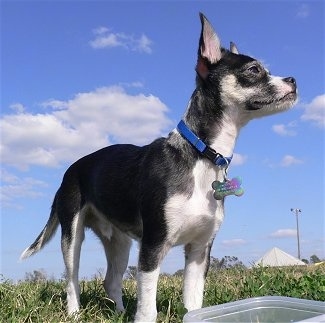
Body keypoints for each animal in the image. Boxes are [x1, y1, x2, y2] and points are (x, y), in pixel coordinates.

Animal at [20, 13, 296, 323]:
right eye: (254, 69)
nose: (294, 80)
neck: (202, 156)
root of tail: (69, 172)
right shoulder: (152, 247)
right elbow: (147, 309)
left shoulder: (199, 251)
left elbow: (194, 304)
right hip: (72, 236)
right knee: (72, 280)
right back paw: (75, 312)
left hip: (119, 242)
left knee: (111, 281)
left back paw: (119, 312)